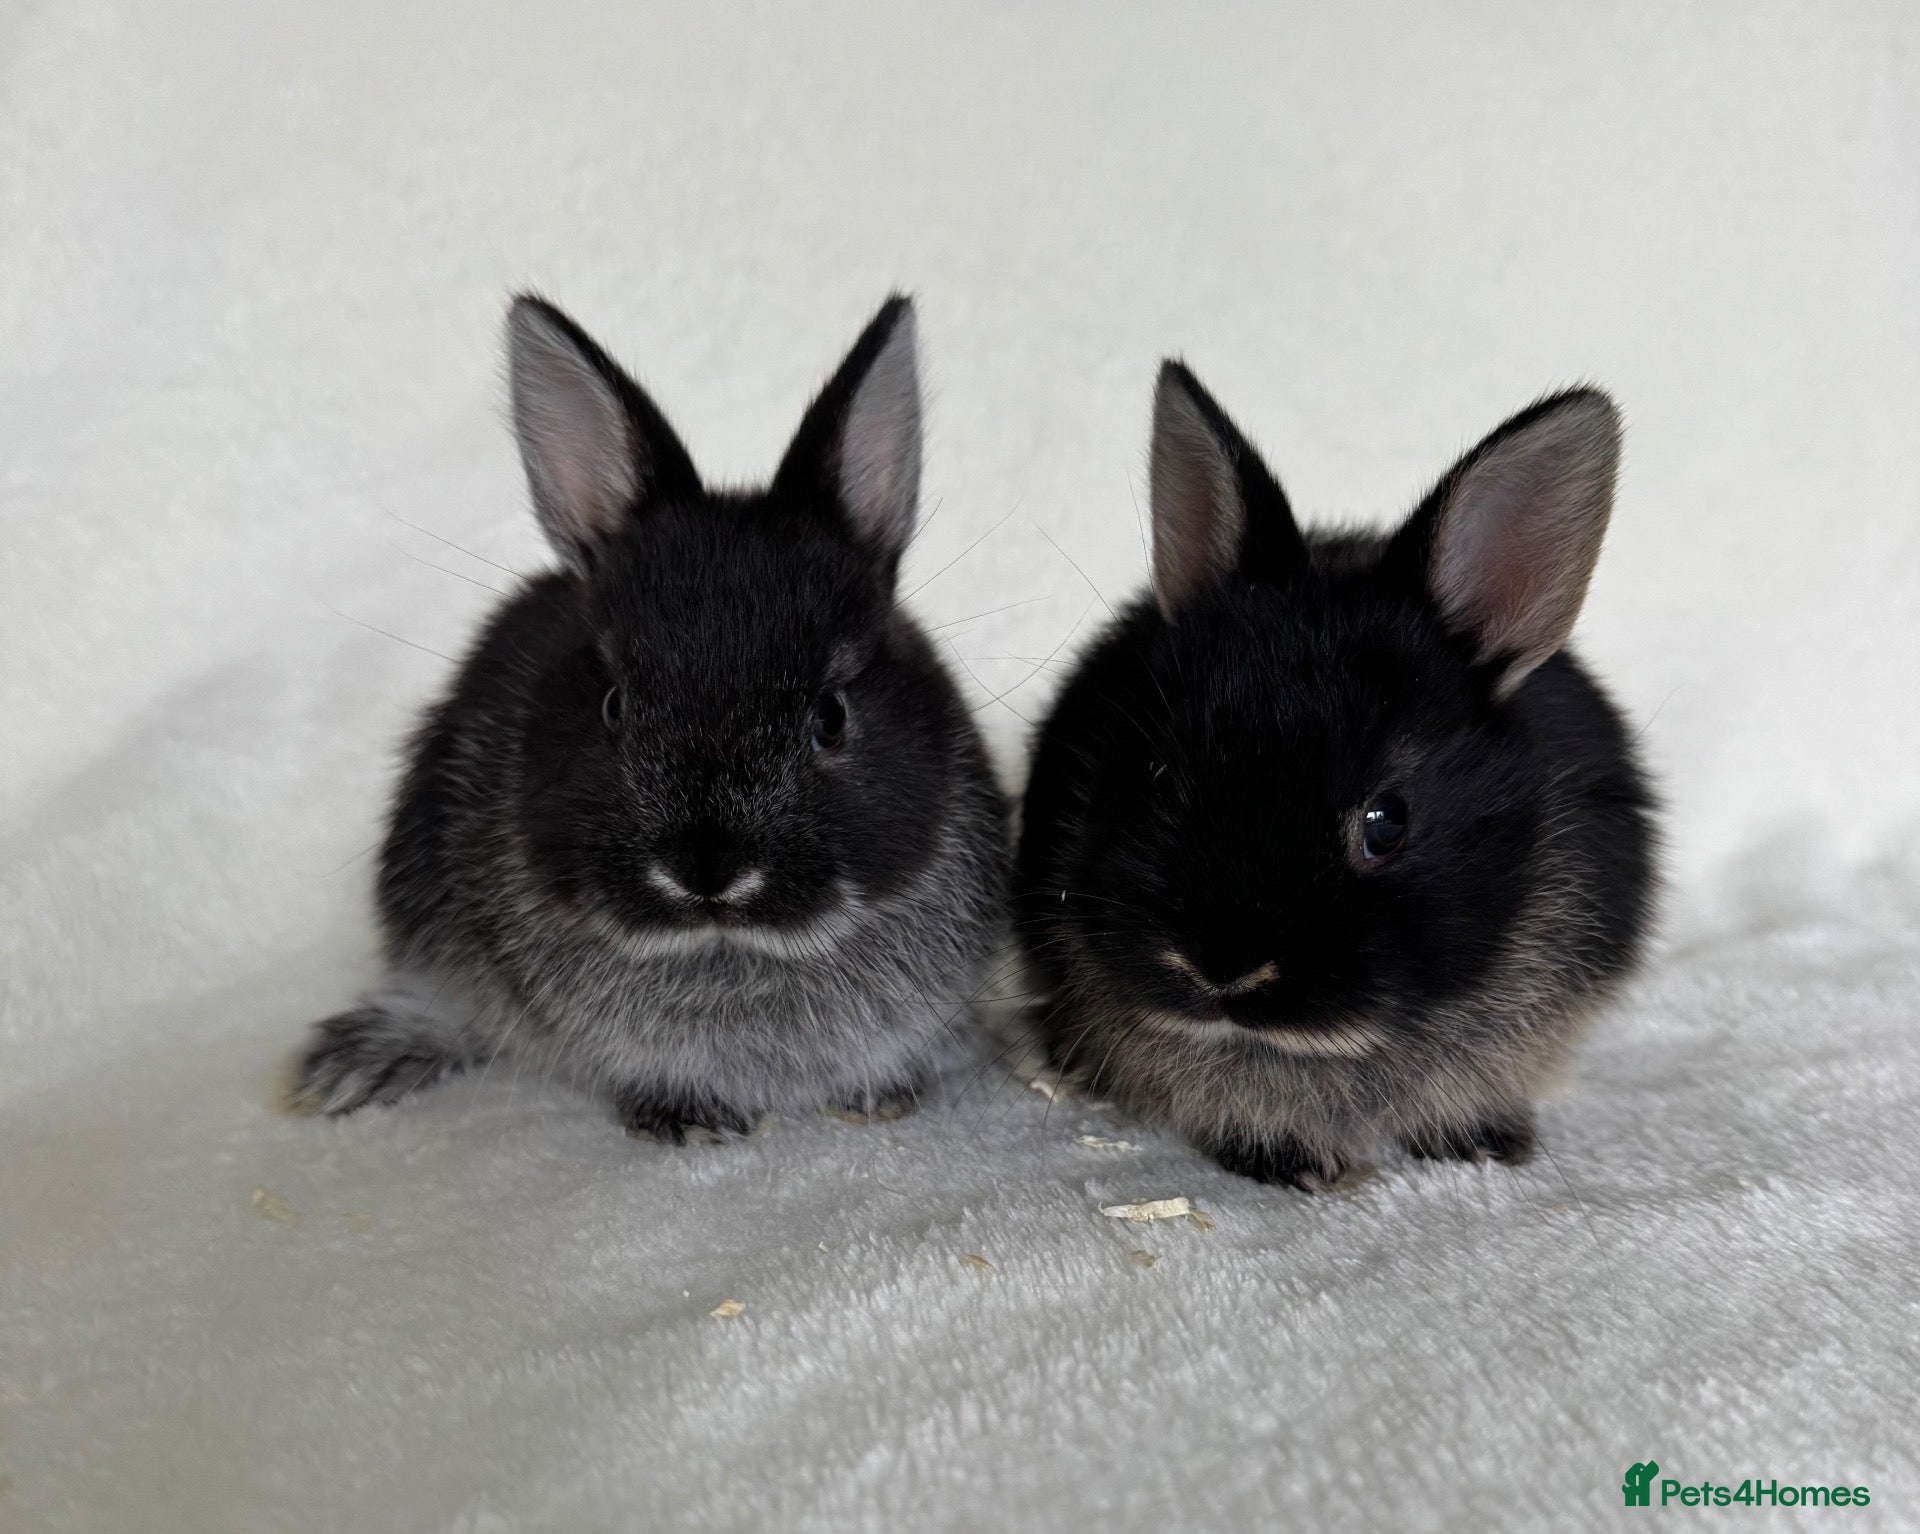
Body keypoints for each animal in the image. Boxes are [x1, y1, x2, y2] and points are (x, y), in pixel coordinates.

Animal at [289, 294, 1008, 1140]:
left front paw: (881, 1099)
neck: (729, 950)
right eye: (615, 705)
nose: (706, 872)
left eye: (830, 717)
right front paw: (691, 1122)